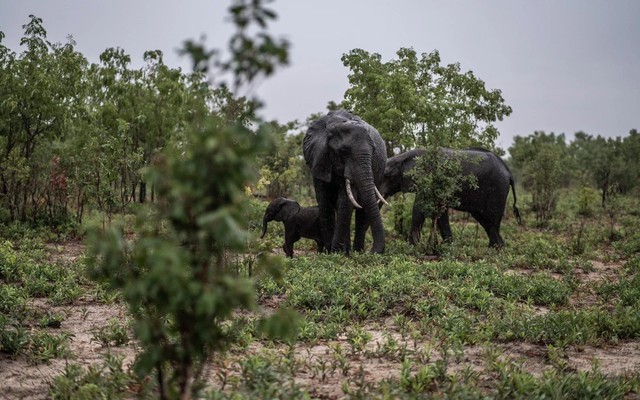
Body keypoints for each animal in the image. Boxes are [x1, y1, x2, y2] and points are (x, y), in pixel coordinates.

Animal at [302, 109, 388, 253]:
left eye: (373, 151)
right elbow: (325, 201)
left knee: (362, 211)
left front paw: (335, 252)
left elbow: (345, 202)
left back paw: (357, 252)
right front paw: (329, 253)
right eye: (343, 152)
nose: (372, 252)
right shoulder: (319, 159)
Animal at [380, 147, 520, 247]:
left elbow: (420, 208)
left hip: (497, 188)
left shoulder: (430, 179)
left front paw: (412, 247)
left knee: (492, 217)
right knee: (483, 219)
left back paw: (496, 248)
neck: (403, 157)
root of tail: (509, 173)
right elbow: (438, 211)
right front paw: (448, 246)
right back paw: (497, 247)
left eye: (387, 175)